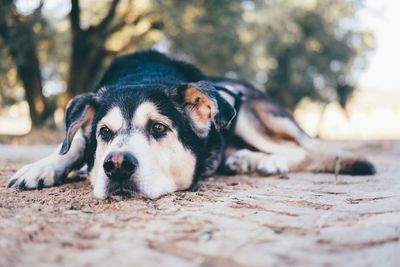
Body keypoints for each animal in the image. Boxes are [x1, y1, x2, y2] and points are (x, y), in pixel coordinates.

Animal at [6, 51, 376, 200]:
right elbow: (76, 144)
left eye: (159, 128)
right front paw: (42, 166)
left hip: (245, 111)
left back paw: (262, 160)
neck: (144, 74)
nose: (117, 165)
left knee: (302, 150)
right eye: (105, 133)